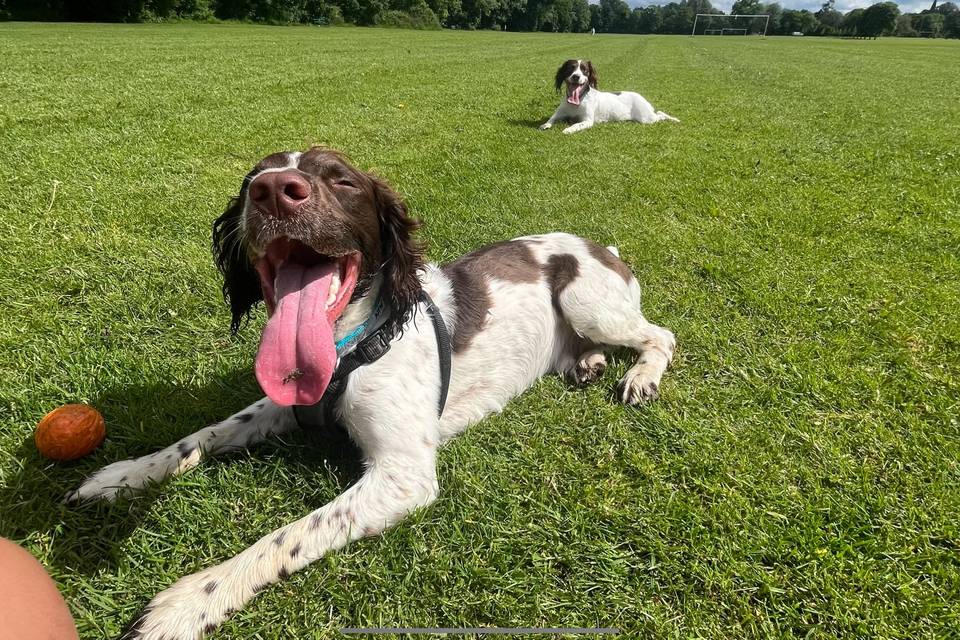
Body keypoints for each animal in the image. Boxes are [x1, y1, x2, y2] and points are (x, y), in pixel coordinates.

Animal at [67, 148, 676, 636]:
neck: (351, 342)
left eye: (342, 180)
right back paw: (587, 364)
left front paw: (190, 601)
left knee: (660, 334)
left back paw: (639, 377)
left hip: (587, 300)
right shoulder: (283, 406)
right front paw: (121, 476)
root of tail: (602, 246)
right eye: (252, 179)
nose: (273, 191)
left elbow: (285, 536)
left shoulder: (403, 475)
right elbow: (201, 436)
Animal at [540, 58, 684, 134]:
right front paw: (545, 125)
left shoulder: (587, 121)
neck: (578, 101)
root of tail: (642, 97)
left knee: (660, 114)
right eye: (570, 68)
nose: (576, 76)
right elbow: (551, 119)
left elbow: (576, 125)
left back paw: (674, 119)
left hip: (647, 118)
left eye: (585, 70)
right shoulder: (560, 113)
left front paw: (568, 129)